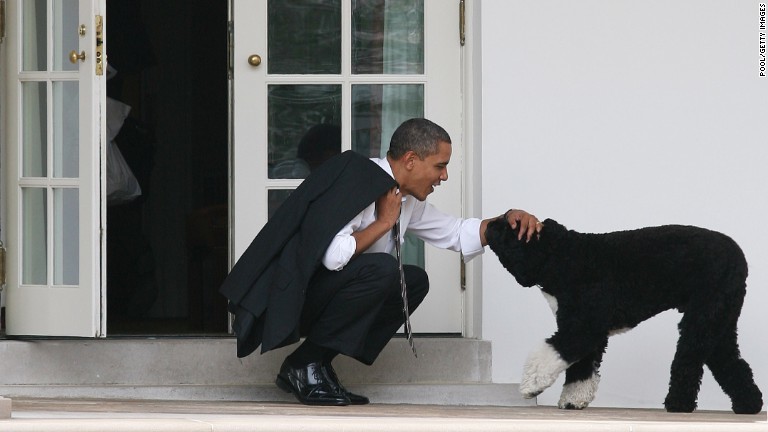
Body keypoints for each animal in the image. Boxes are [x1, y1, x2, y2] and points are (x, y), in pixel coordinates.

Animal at [486, 218, 760, 414]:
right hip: (719, 320)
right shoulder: (585, 330)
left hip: (702, 318)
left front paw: (531, 386)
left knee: (689, 361)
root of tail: (739, 257)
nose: (487, 224)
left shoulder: (583, 328)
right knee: (730, 362)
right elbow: (581, 369)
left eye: (509, 227)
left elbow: (551, 352)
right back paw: (749, 404)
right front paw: (573, 400)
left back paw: (678, 404)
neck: (562, 256)